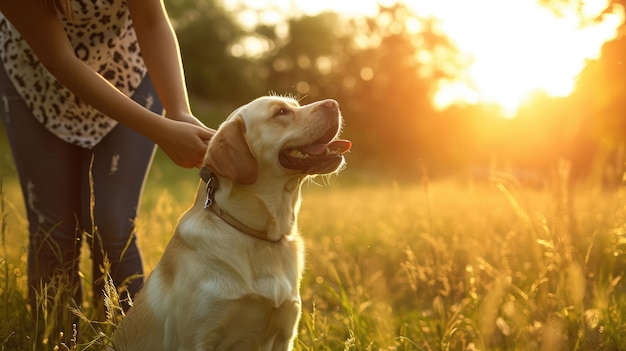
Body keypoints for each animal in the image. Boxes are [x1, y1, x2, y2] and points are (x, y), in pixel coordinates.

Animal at [114, 95, 348, 350]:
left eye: (294, 105)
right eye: (280, 112)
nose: (334, 103)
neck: (261, 235)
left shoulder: (284, 334)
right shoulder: (198, 338)